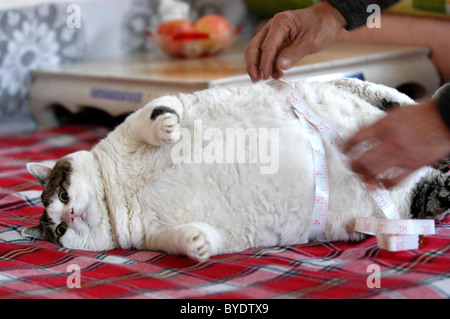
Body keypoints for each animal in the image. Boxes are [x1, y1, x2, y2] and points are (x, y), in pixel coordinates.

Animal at [22, 79, 448, 262]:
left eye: (63, 194)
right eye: (58, 230)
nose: (70, 215)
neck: (119, 193)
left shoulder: (141, 118)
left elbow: (152, 116)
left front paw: (167, 127)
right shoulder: (152, 236)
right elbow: (179, 240)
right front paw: (195, 243)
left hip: (369, 93)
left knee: (401, 101)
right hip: (418, 199)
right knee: (439, 188)